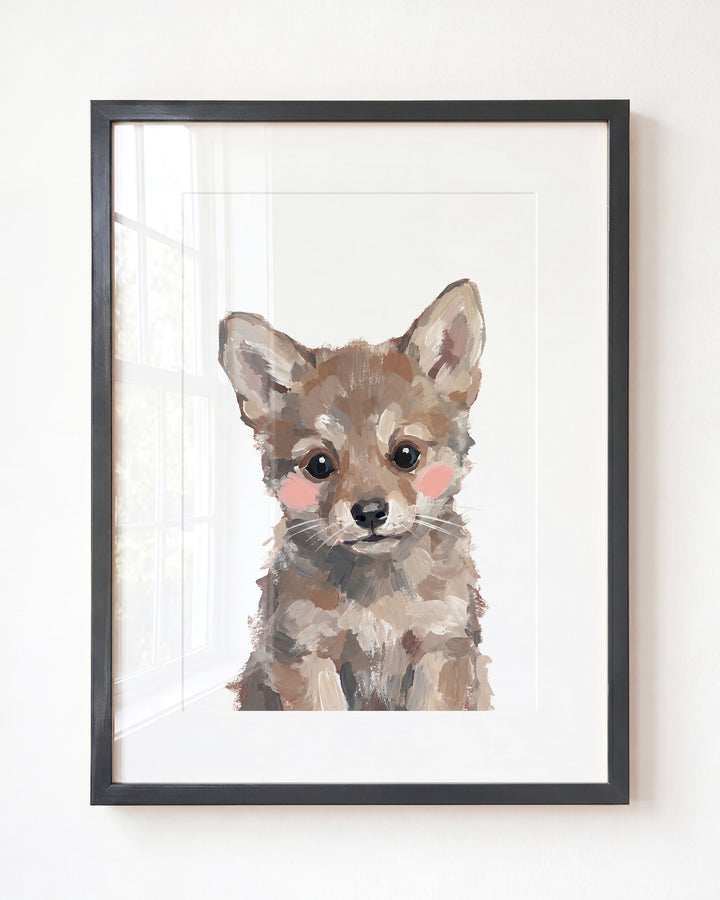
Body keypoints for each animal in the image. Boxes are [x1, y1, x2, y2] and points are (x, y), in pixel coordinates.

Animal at [219, 278, 492, 710]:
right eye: (319, 465)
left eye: (406, 454)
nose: (369, 512)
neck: (379, 602)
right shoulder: (305, 654)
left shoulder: (442, 645)